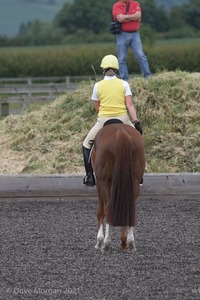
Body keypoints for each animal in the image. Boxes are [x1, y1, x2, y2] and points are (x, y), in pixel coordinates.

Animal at [91, 120, 145, 252]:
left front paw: (99, 240)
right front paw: (123, 241)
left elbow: (100, 211)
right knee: (130, 207)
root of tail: (121, 132)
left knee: (108, 207)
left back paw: (106, 243)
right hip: (134, 181)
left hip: (105, 182)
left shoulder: (99, 183)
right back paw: (130, 243)